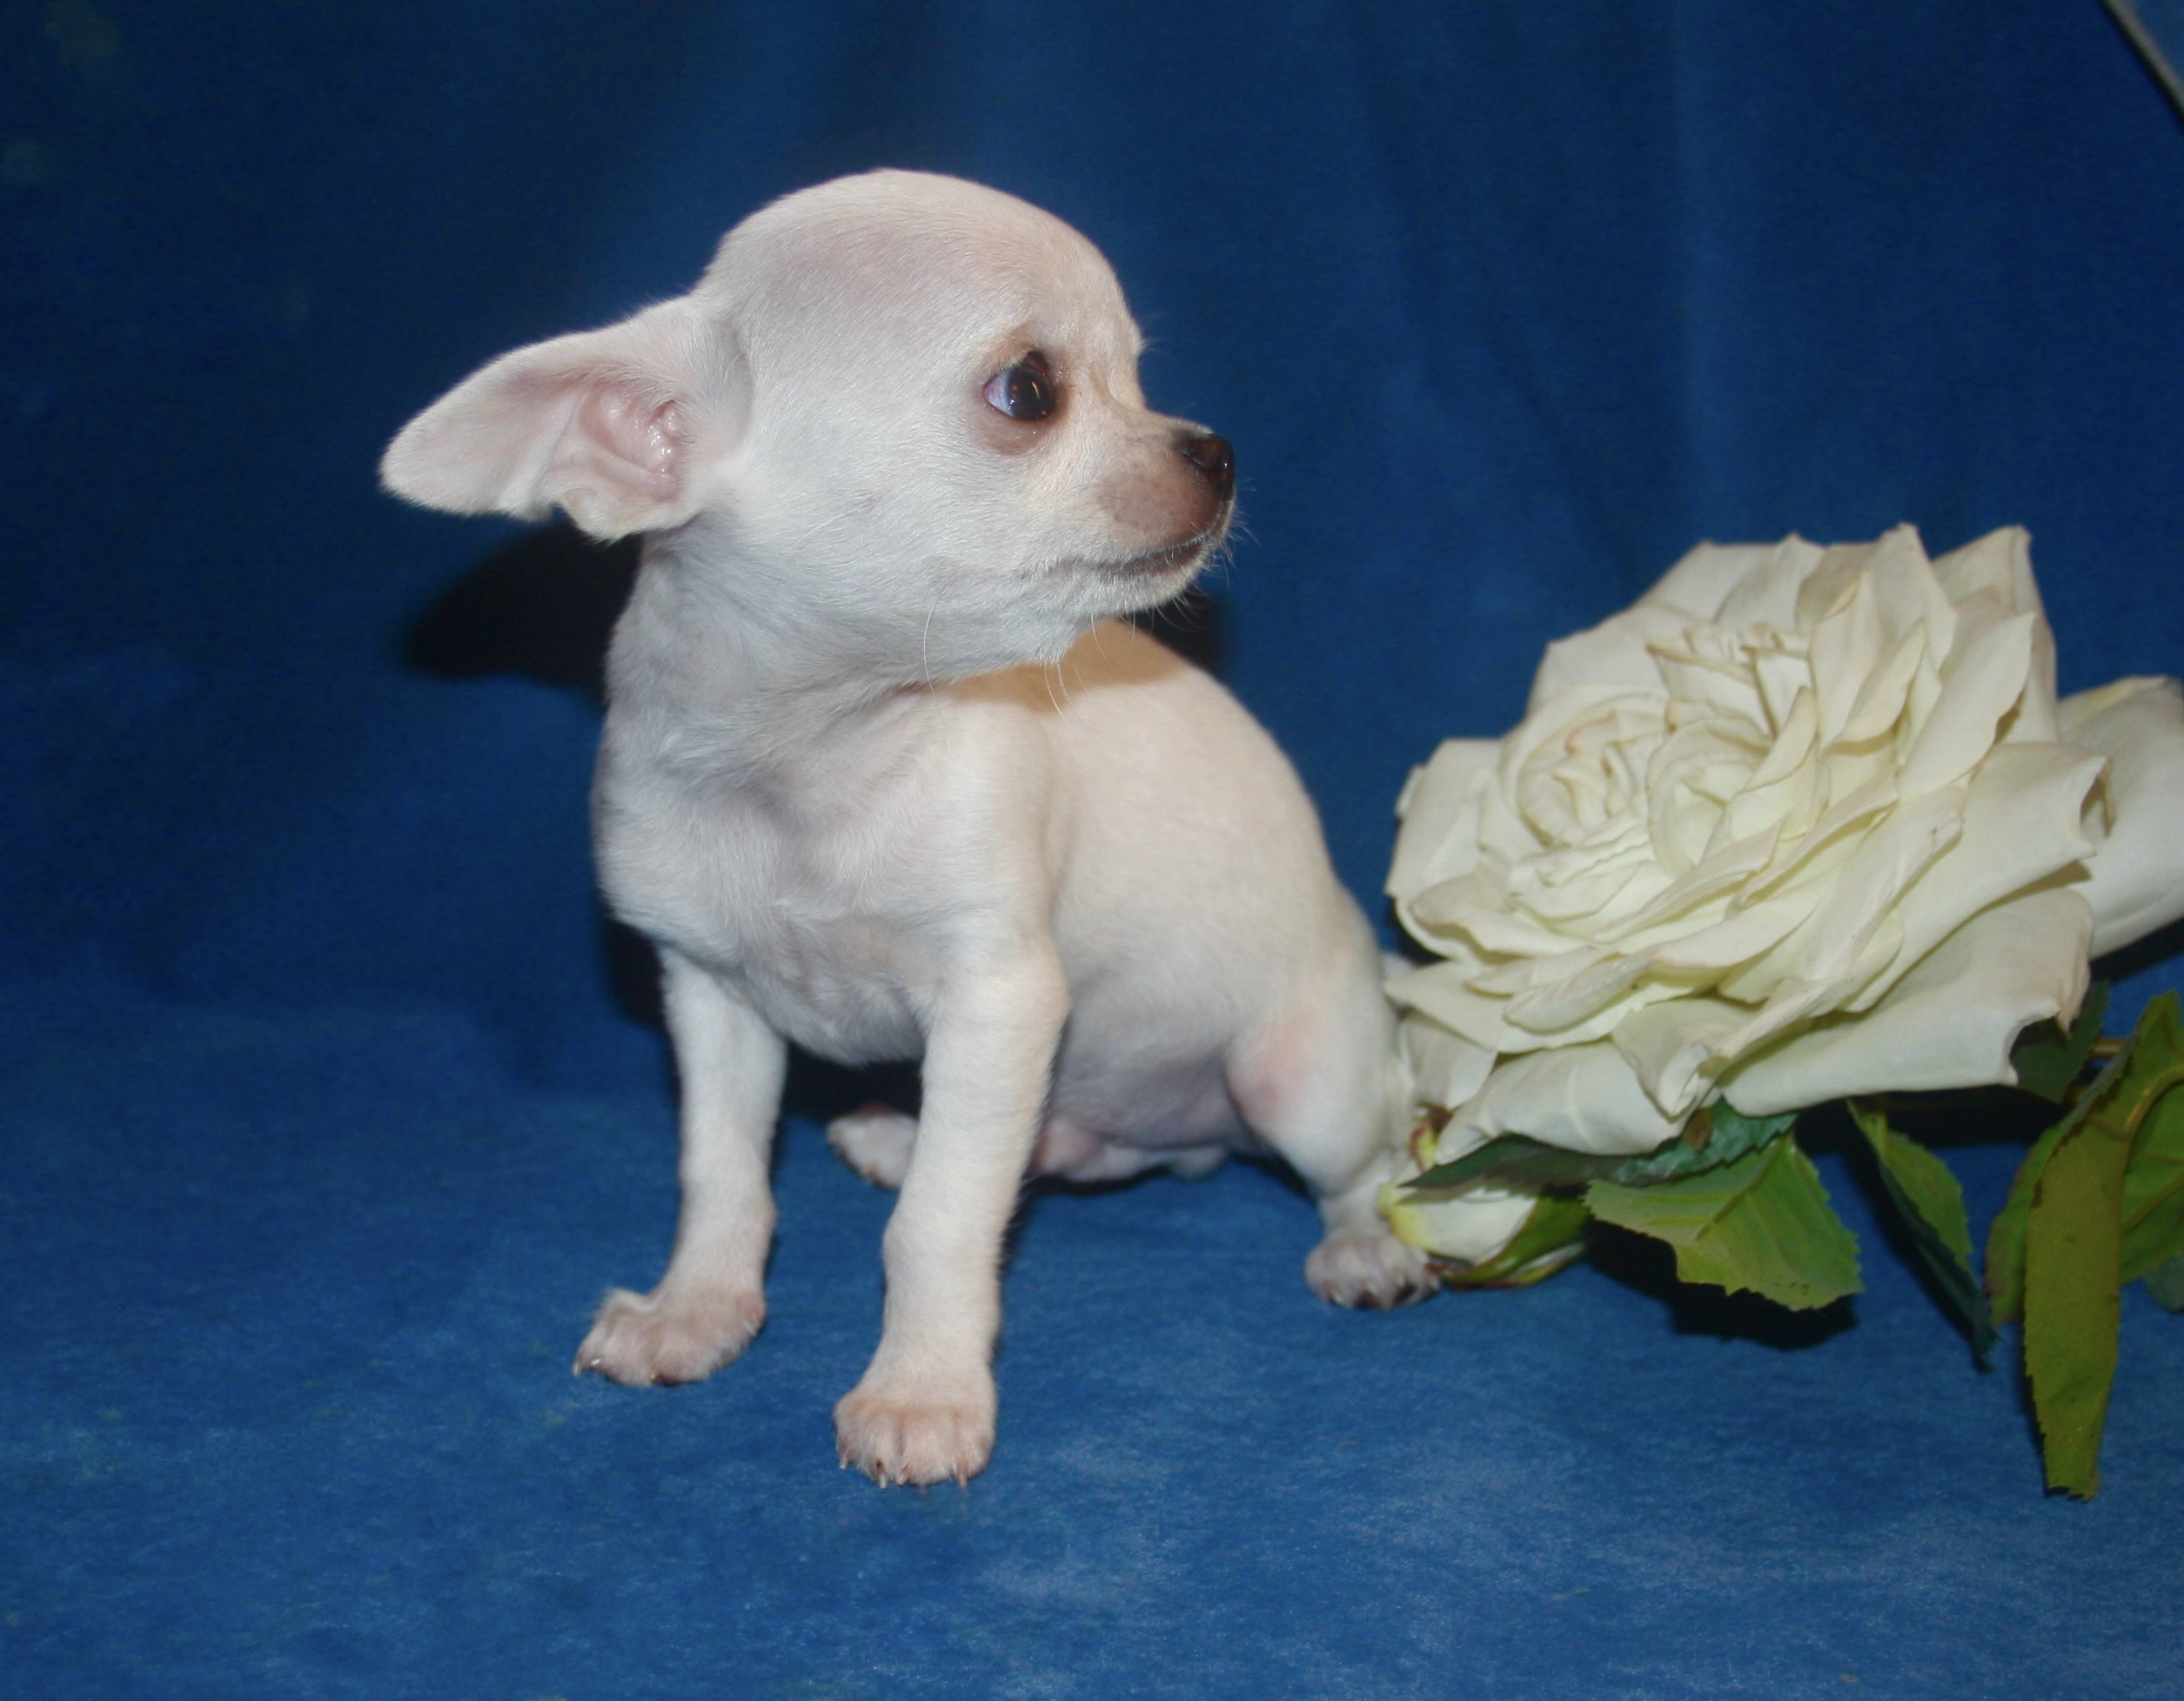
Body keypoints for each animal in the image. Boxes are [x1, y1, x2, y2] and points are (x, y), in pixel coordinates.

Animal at [382, 170, 1432, 1485]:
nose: (1216, 448)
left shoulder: (997, 996)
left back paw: (1364, 1247)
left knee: (1365, 1162)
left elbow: (935, 1224)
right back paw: (909, 1133)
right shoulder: (708, 994)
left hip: (1294, 1076)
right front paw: (696, 1309)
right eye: (1029, 391)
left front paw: (921, 1388)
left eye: (1137, 371)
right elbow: (719, 1172)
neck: (812, 755)